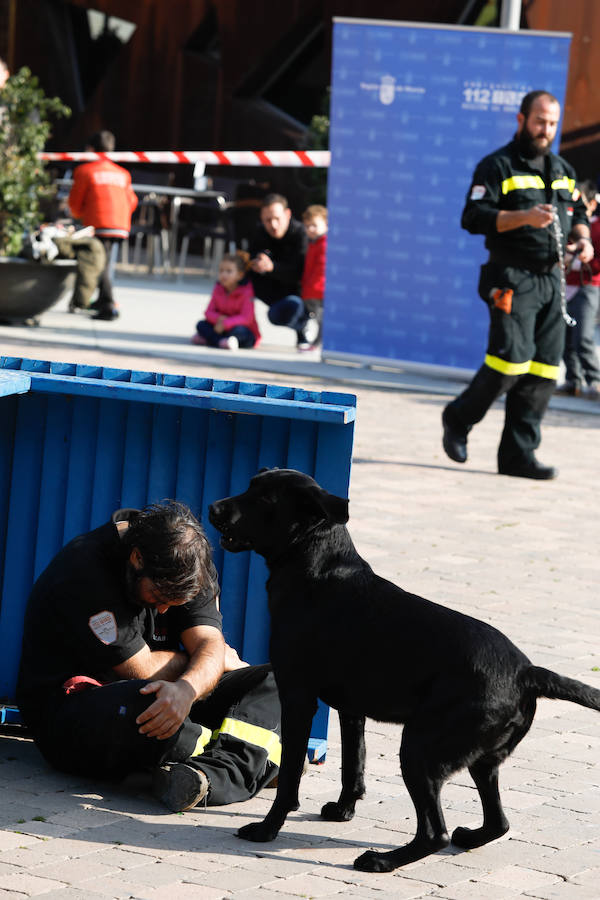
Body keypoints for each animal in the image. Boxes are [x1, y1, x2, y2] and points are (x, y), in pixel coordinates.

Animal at [207, 472, 600, 872]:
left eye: (264, 499)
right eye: (250, 485)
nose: (213, 507)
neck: (316, 569)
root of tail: (528, 672)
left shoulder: (299, 699)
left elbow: (289, 778)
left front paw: (267, 829)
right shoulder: (351, 709)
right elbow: (354, 765)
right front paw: (344, 811)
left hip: (419, 749)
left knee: (436, 833)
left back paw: (382, 860)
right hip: (482, 760)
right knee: (498, 823)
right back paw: (467, 837)